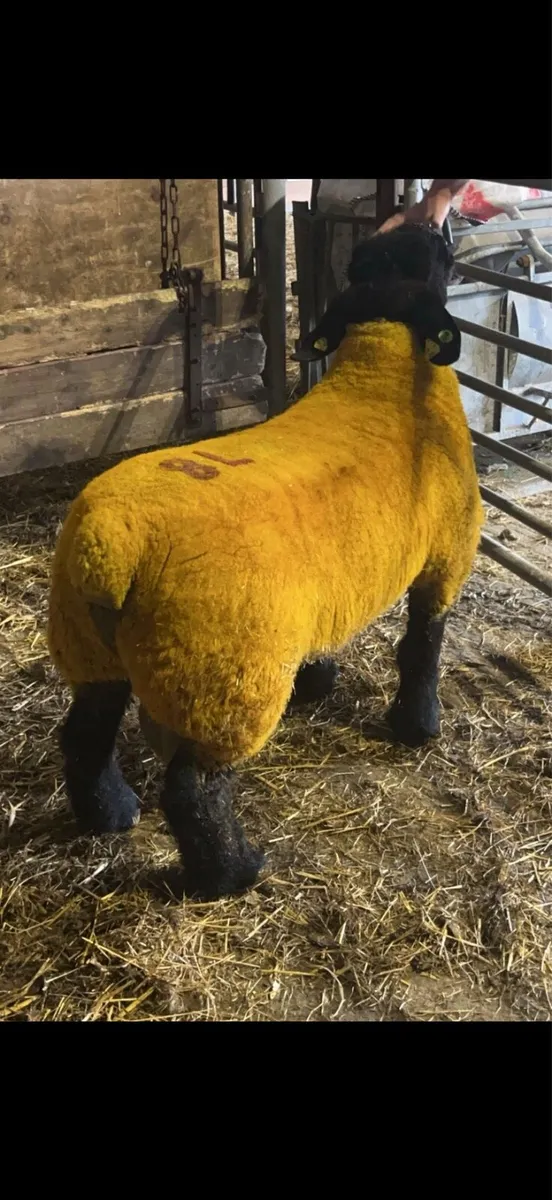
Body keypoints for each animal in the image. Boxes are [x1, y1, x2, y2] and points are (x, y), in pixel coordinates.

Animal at [48, 224, 484, 901]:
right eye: (437, 255)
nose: (440, 226)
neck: (379, 372)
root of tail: (110, 544)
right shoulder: (447, 554)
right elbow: (424, 644)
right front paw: (418, 725)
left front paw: (319, 680)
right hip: (225, 682)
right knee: (193, 790)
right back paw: (233, 872)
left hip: (89, 648)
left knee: (85, 735)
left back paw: (112, 814)